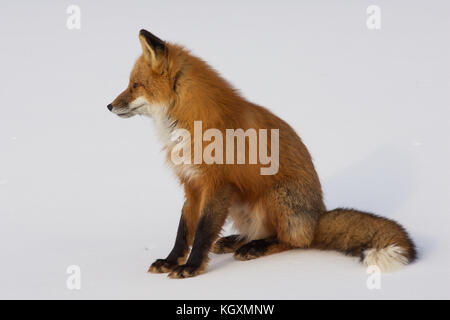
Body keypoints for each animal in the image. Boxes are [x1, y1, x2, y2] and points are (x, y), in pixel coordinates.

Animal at [107, 30, 416, 280]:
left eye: (135, 85)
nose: (108, 106)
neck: (189, 123)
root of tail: (318, 215)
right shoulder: (192, 185)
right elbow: (184, 230)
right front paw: (171, 261)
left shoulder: (217, 184)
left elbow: (203, 231)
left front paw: (191, 268)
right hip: (240, 204)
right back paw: (237, 241)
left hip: (275, 196)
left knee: (292, 241)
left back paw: (255, 248)